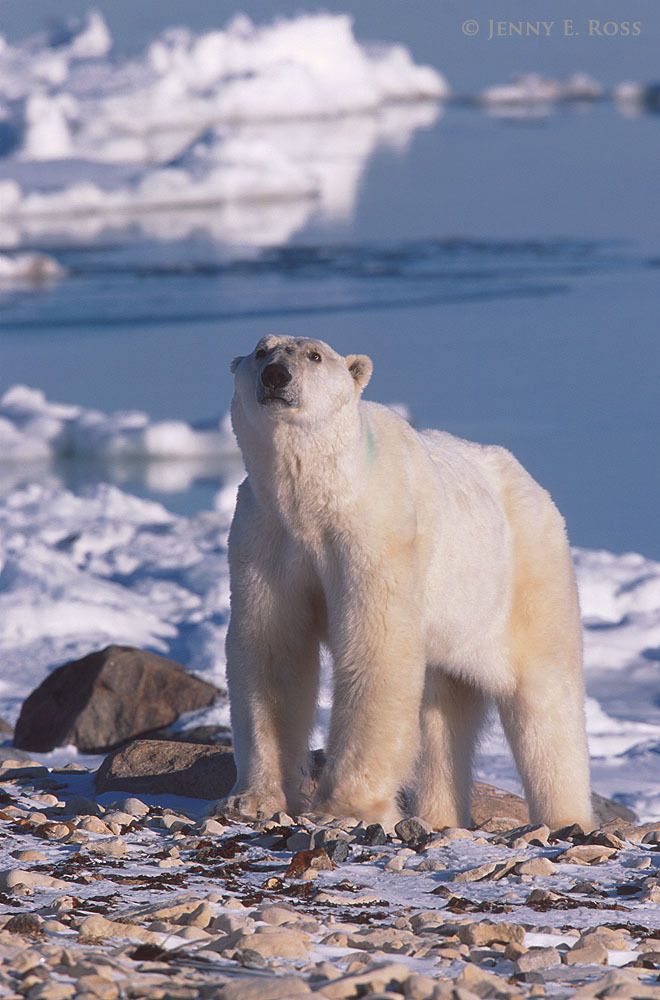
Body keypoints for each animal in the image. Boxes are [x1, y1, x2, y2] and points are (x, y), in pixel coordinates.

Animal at [223, 334, 593, 830]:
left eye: (314, 355)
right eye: (262, 351)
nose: (276, 376)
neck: (315, 499)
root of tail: (536, 490)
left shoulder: (377, 533)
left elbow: (375, 646)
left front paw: (346, 807)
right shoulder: (266, 537)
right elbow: (273, 653)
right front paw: (254, 799)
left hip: (527, 577)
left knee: (544, 700)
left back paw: (566, 818)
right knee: (443, 713)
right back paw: (439, 816)